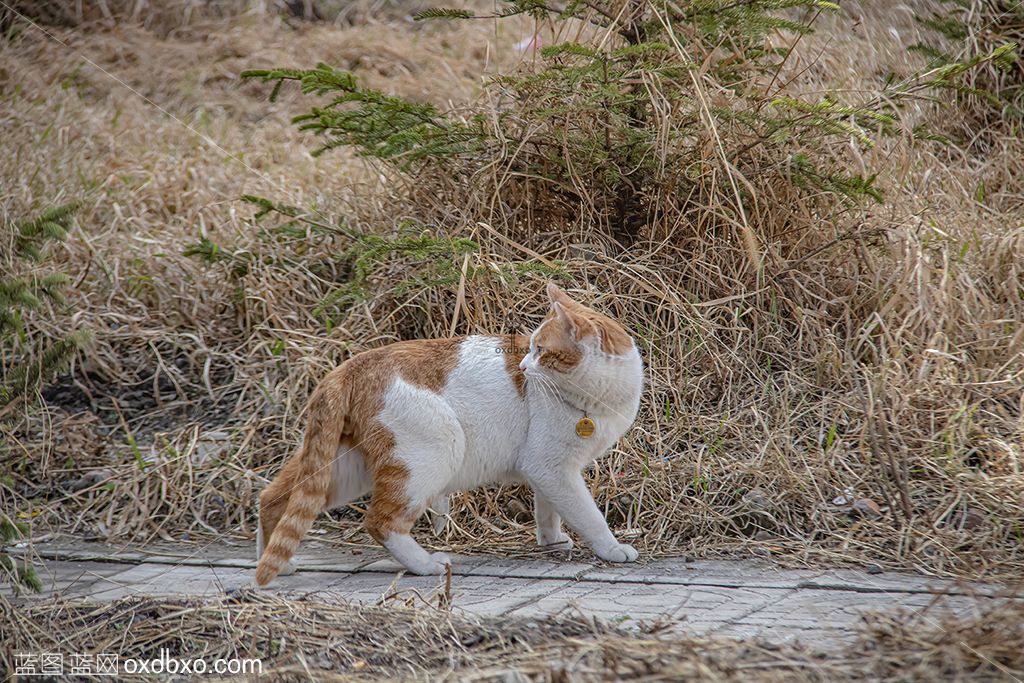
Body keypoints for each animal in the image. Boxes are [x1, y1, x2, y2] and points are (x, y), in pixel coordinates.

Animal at [253, 282, 638, 589]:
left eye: (539, 350)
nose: (524, 367)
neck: (604, 395)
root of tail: (351, 365)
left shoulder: (548, 471)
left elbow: (549, 509)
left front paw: (552, 540)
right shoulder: (551, 466)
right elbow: (587, 514)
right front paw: (610, 548)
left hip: (342, 469)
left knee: (273, 498)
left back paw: (279, 563)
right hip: (429, 457)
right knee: (380, 522)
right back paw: (426, 565)